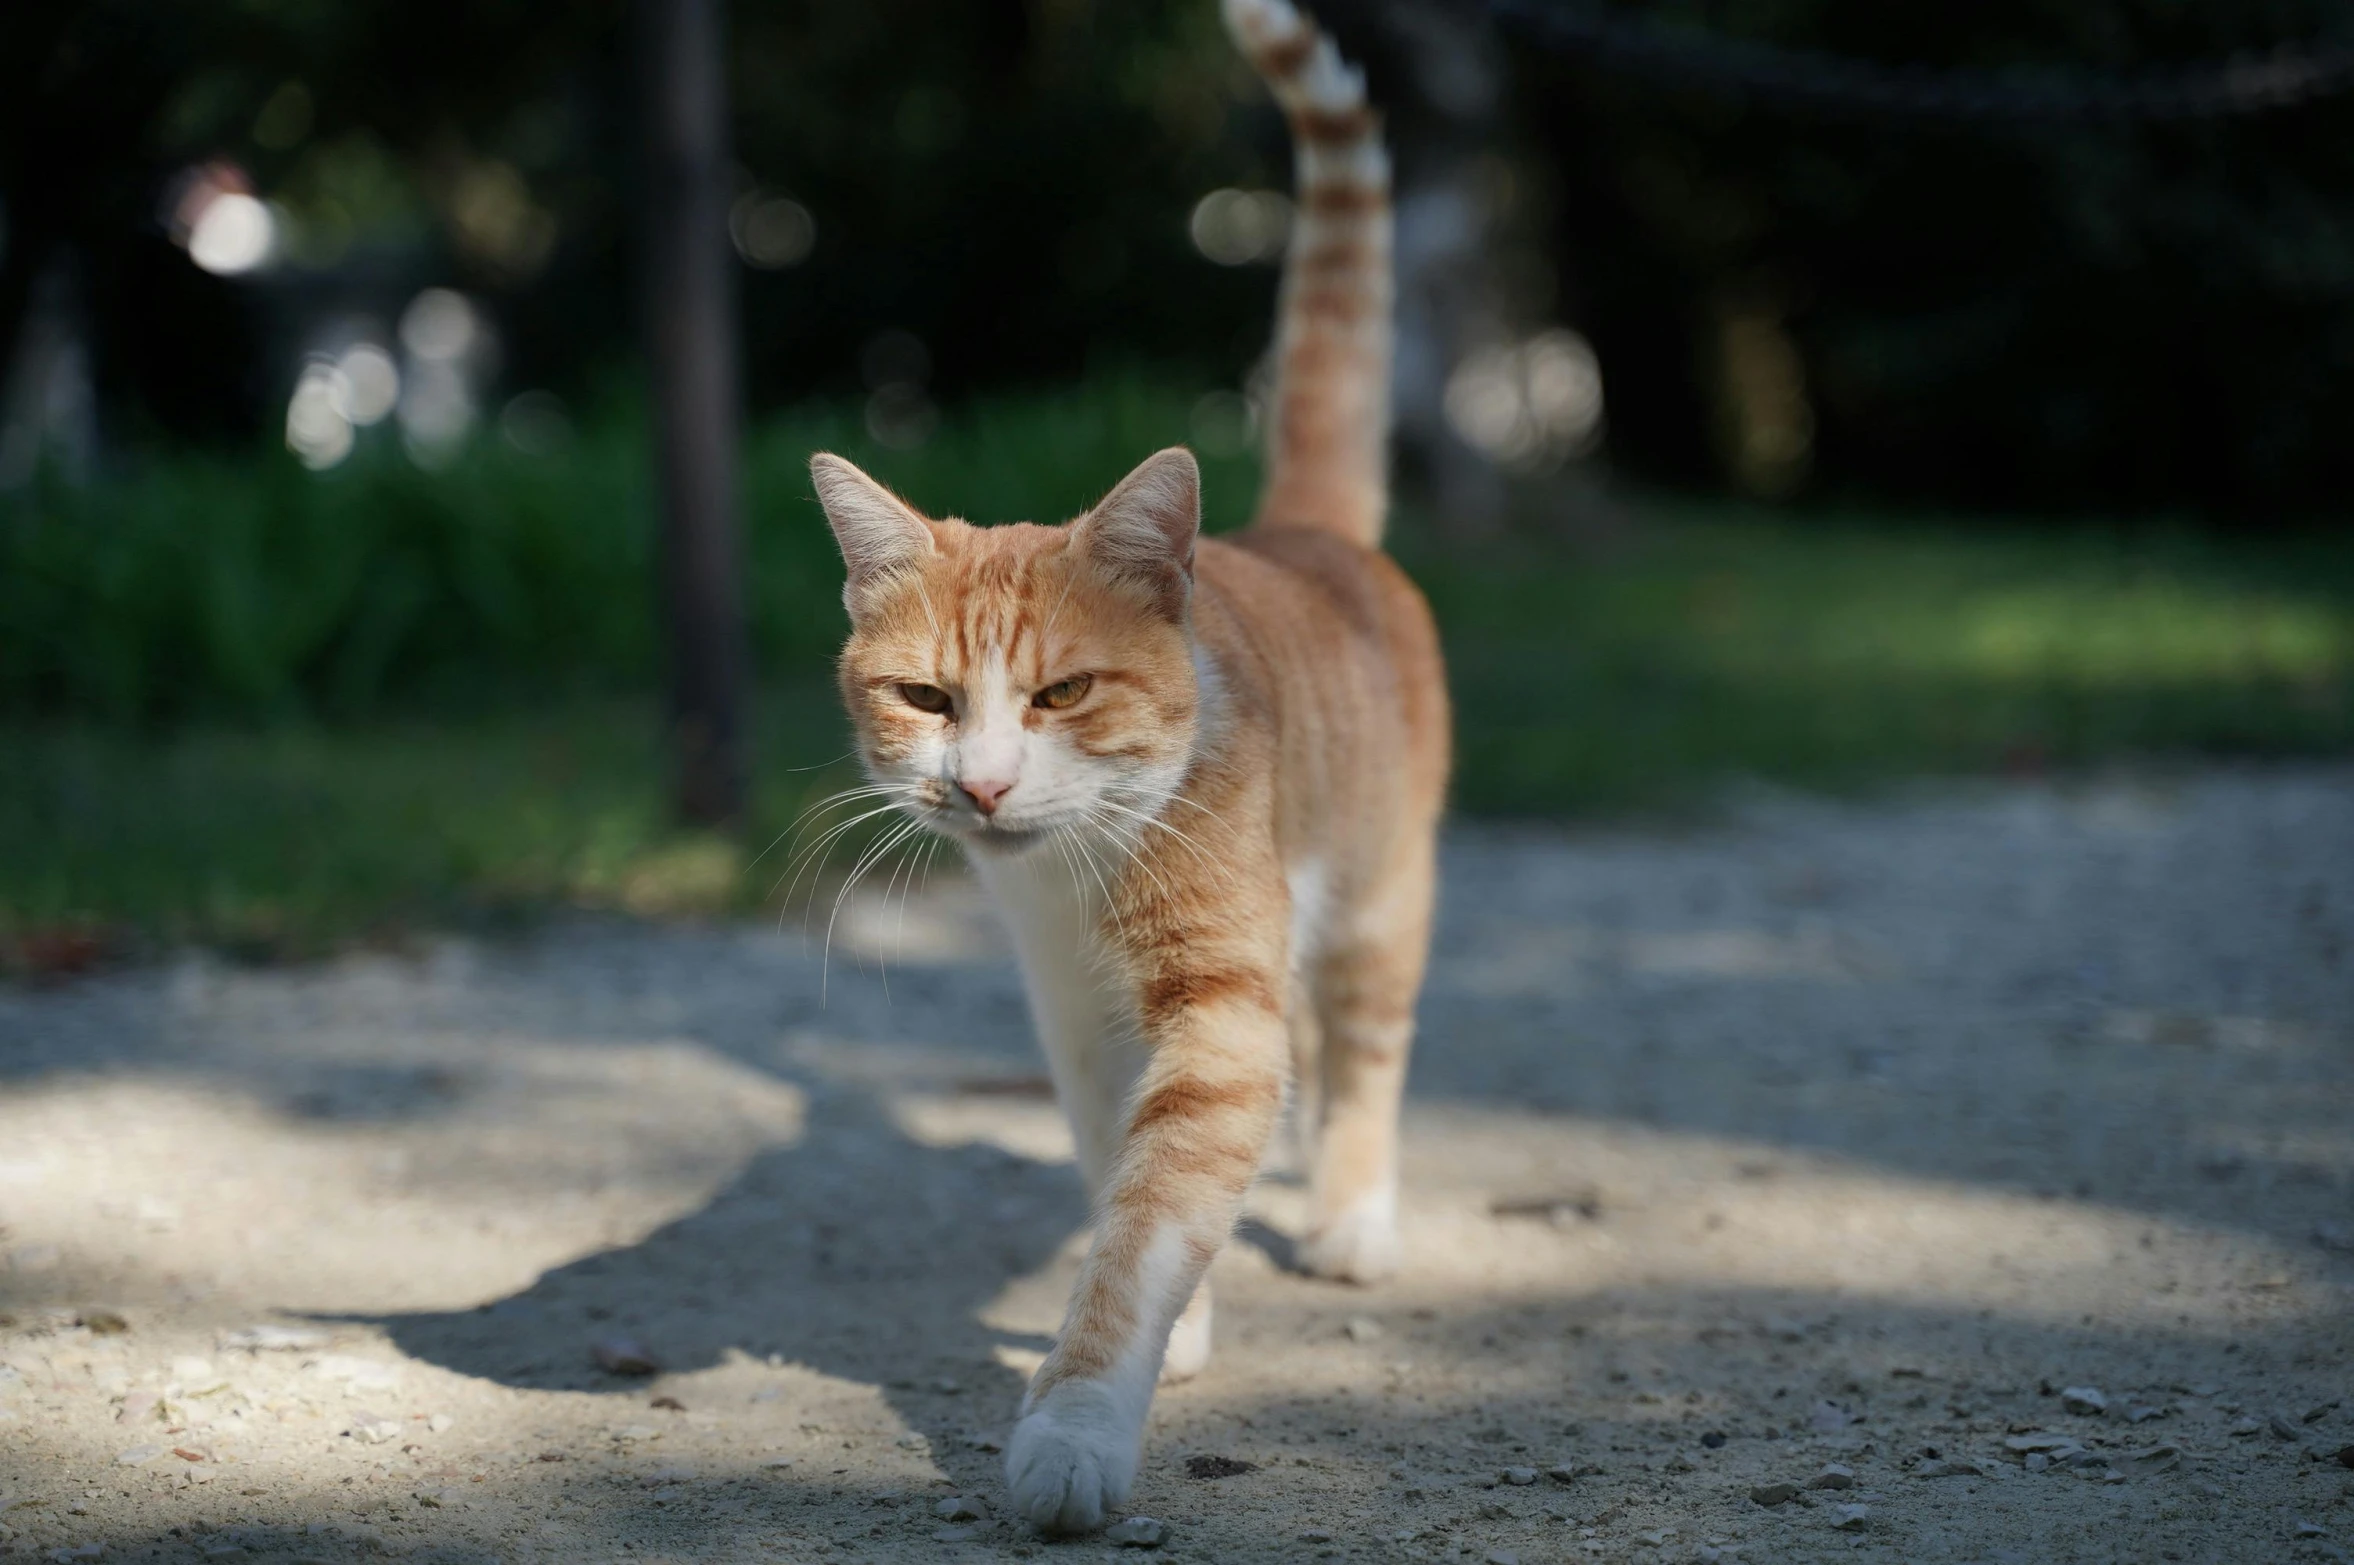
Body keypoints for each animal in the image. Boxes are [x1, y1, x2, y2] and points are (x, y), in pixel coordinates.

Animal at [805, 0, 1431, 1534]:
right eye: (924, 697)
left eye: (1062, 693)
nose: (977, 784)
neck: (1080, 878)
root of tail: (1308, 532)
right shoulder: (1077, 1021)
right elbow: (1121, 1183)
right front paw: (1175, 1324)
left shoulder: (1215, 1012)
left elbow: (1154, 1211)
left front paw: (1077, 1424)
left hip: (1380, 897)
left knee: (1362, 1050)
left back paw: (1353, 1216)